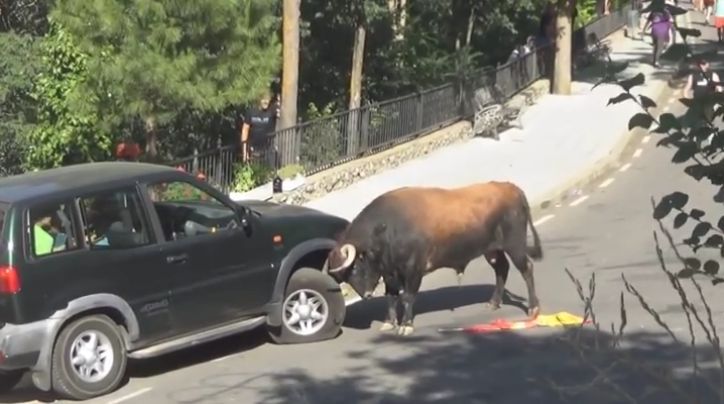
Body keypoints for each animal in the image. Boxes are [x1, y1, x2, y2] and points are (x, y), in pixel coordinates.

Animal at [324, 181, 544, 336]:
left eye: (354, 268)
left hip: (515, 246)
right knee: (501, 269)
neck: (387, 229)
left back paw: (533, 308)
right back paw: (493, 302)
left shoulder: (413, 270)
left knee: (527, 269)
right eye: (344, 277)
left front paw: (406, 325)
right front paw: (389, 322)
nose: (367, 295)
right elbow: (391, 298)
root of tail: (511, 188)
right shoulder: (390, 274)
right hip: (492, 250)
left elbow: (407, 297)